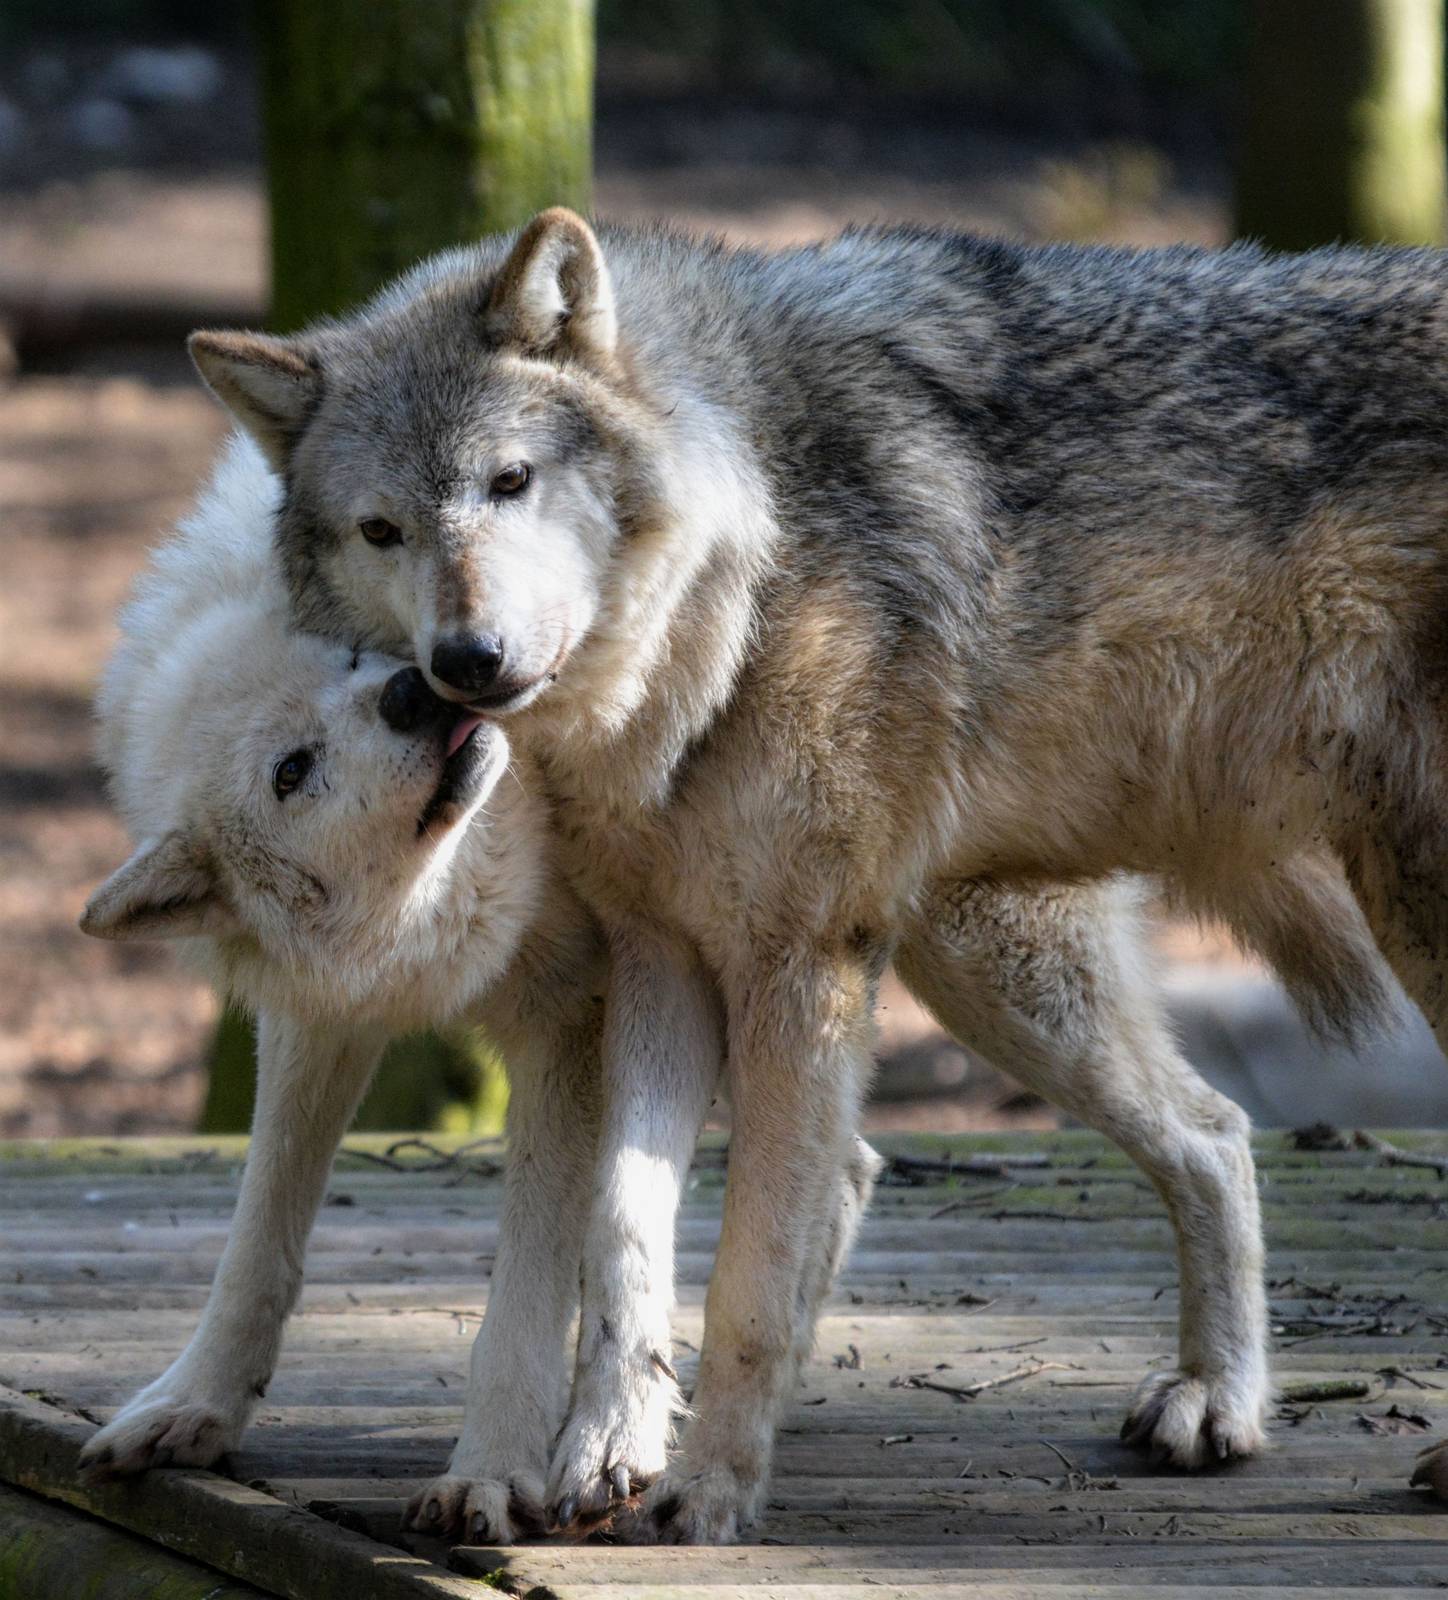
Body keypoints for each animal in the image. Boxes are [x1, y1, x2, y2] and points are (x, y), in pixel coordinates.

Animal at [188, 214, 1448, 1540]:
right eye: (382, 529)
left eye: (509, 482)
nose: (462, 661)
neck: (732, 593)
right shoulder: (662, 960)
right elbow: (622, 1228)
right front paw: (606, 1450)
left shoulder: (796, 967)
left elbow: (747, 1273)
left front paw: (708, 1494)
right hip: (996, 980)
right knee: (1212, 1132)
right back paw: (1215, 1400)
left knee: (1196, 1131)